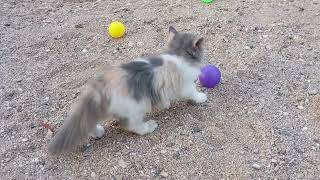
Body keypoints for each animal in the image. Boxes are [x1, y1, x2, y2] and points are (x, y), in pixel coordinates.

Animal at [47, 26, 208, 155]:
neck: (177, 54)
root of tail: (101, 84)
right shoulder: (187, 85)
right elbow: (194, 93)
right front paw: (201, 97)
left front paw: (166, 103)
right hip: (136, 109)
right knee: (131, 126)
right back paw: (149, 126)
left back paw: (97, 132)